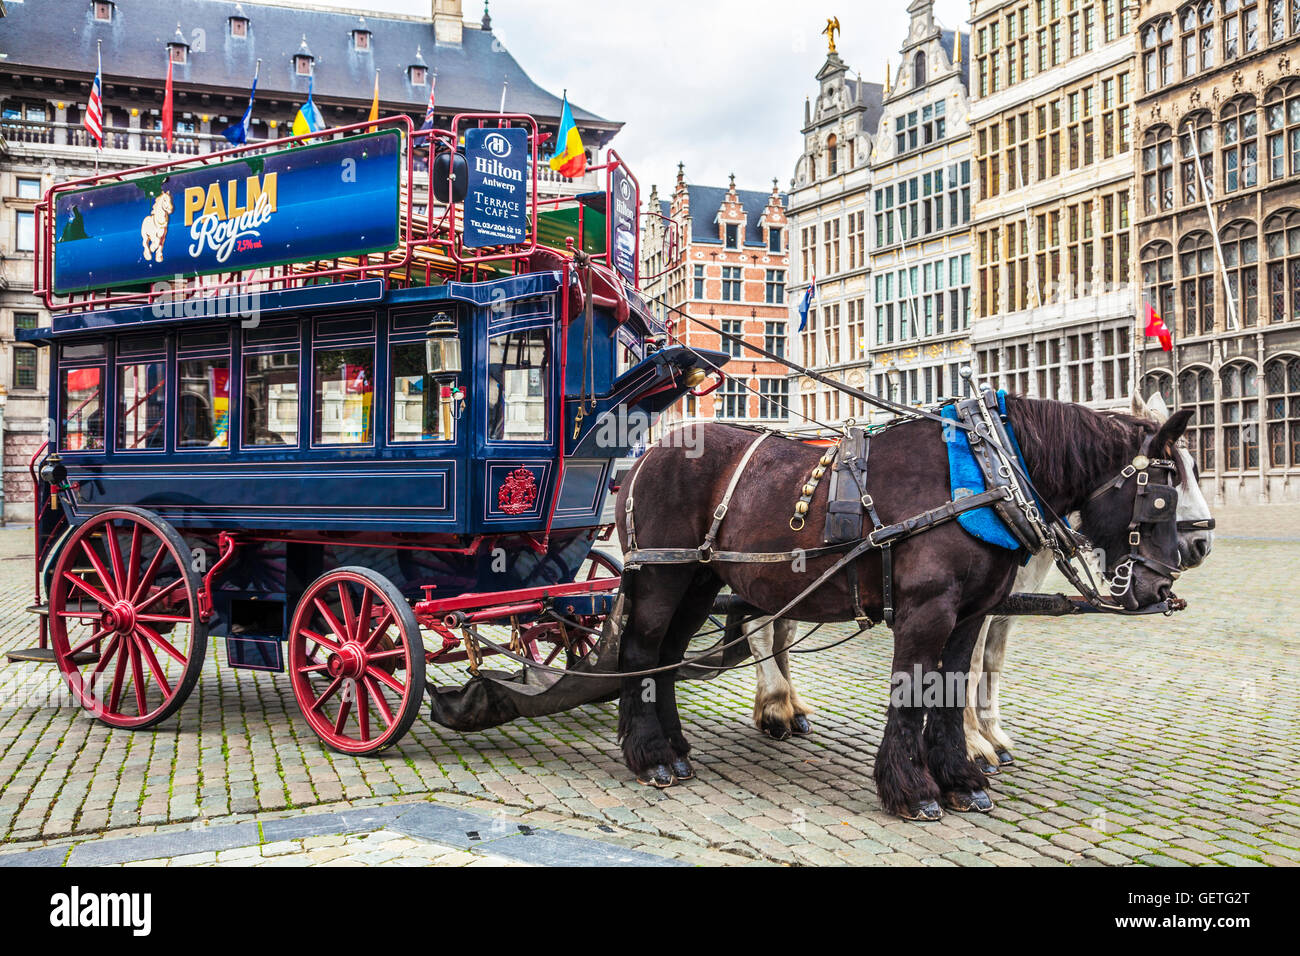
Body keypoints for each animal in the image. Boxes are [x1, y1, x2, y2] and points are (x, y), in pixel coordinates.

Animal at [613, 395, 1190, 822]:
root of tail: (648, 454)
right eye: (1163, 496)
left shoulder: (971, 614)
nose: (1163, 586)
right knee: (641, 653)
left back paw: (676, 749)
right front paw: (913, 790)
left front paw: (961, 780)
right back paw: (653, 757)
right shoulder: (926, 611)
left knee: (666, 659)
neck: (985, 474)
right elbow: (912, 691)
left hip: (699, 581)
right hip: (663, 575)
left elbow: (952, 689)